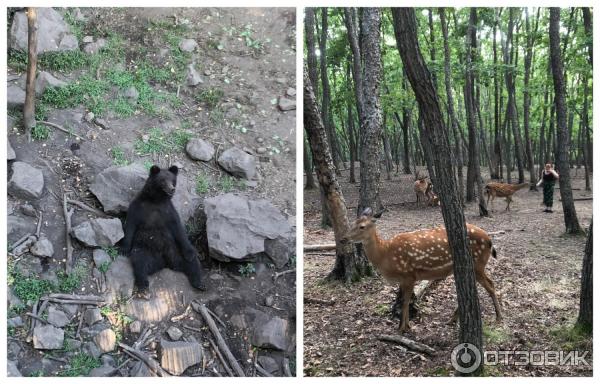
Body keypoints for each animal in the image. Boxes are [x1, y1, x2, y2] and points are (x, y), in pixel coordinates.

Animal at [342, 208, 502, 332]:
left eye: (362, 226)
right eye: (352, 223)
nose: (343, 239)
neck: (385, 255)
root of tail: (489, 240)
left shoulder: (409, 275)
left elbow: (405, 301)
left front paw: (404, 328)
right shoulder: (404, 279)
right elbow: (404, 300)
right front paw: (404, 325)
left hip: (477, 263)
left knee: (490, 285)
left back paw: (498, 317)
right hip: (475, 266)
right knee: (481, 286)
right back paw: (452, 319)